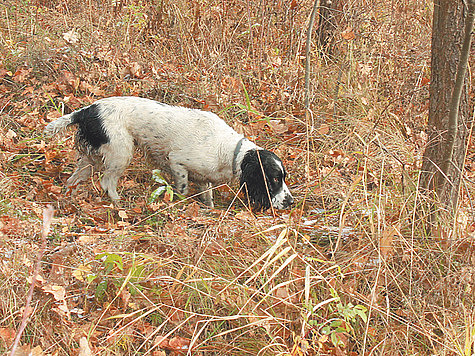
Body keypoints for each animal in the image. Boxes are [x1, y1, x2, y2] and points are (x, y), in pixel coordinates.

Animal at [43, 96, 294, 210]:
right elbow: (181, 190)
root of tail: (87, 111)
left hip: (90, 160)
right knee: (107, 183)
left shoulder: (204, 179)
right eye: (274, 179)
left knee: (73, 180)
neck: (228, 151)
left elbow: (208, 198)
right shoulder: (177, 163)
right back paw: (118, 203)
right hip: (121, 152)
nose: (291, 202)